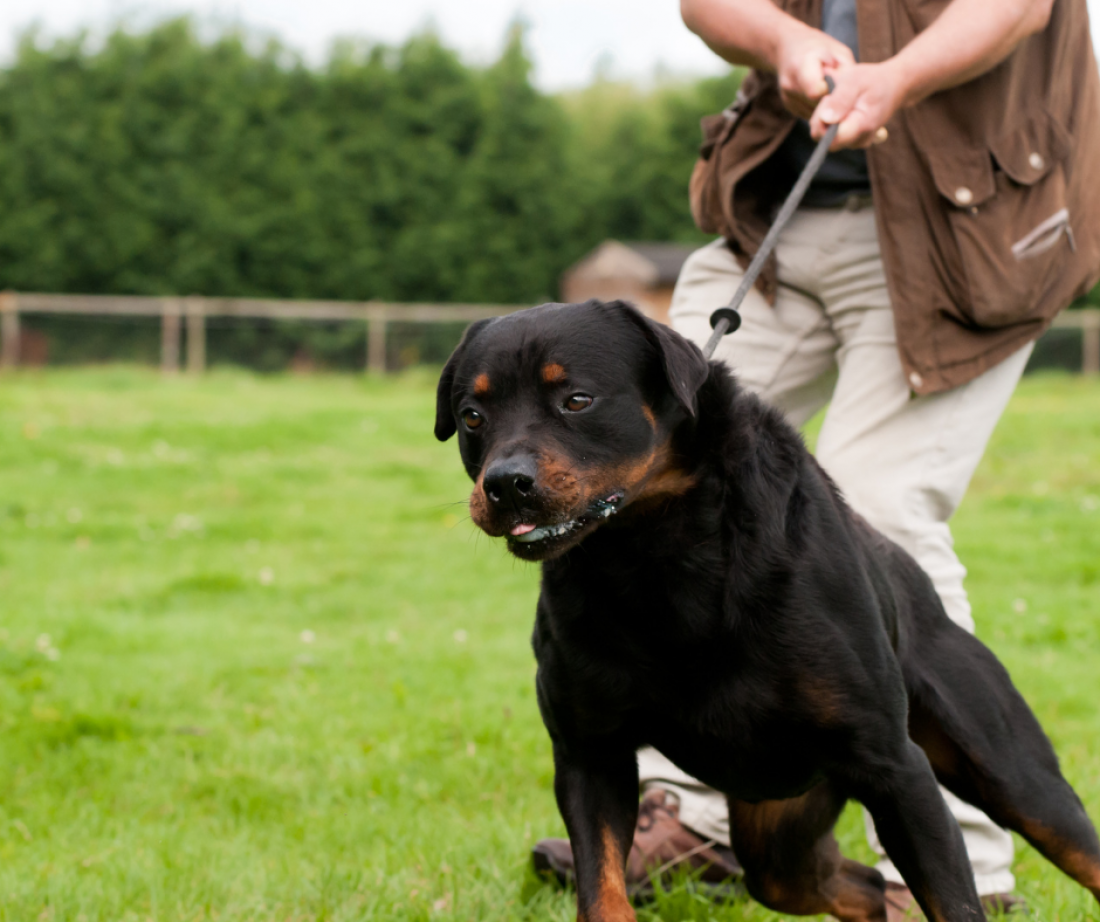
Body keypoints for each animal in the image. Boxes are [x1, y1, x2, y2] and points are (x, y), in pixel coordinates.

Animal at [433, 299, 1100, 919]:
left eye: (577, 399)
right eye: (472, 417)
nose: (505, 483)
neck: (654, 555)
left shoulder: (895, 768)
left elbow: (955, 903)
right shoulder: (590, 755)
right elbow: (602, 892)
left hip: (1012, 775)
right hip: (777, 835)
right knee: (855, 885)